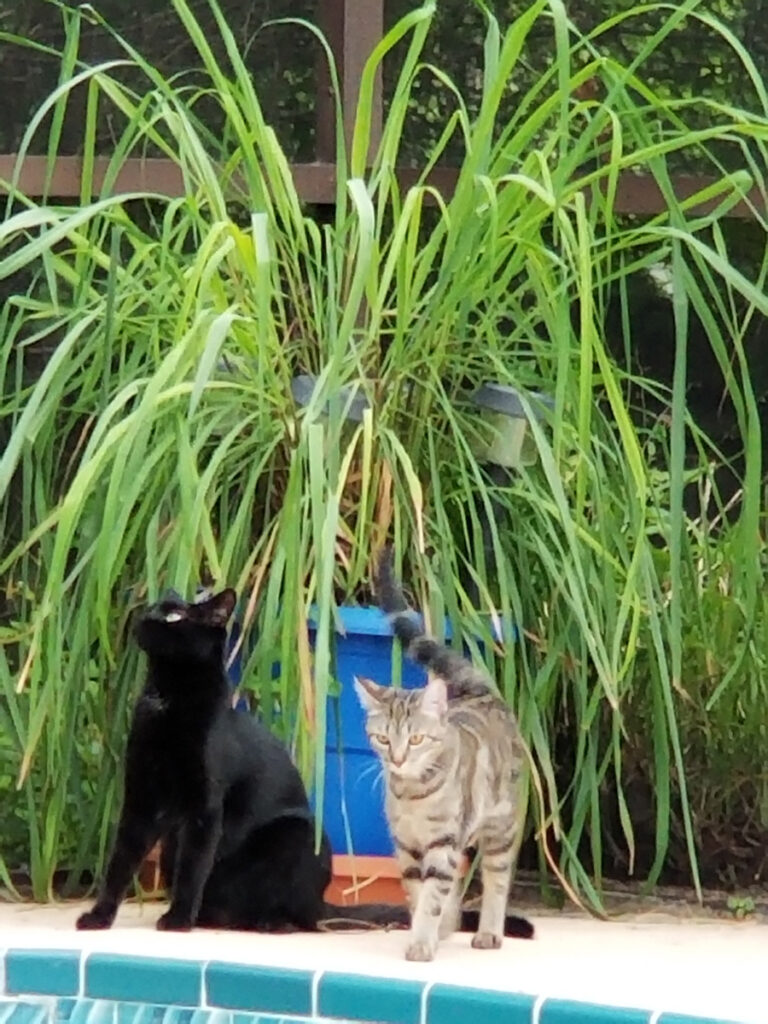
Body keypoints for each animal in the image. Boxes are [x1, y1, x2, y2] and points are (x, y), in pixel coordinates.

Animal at [356, 552, 532, 958]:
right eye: (383, 739)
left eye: (417, 739)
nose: (398, 759)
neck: (414, 795)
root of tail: (478, 690)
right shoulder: (406, 845)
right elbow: (418, 893)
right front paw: (428, 932)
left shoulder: (443, 841)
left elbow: (433, 894)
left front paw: (422, 943)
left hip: (501, 827)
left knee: (497, 878)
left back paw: (488, 933)